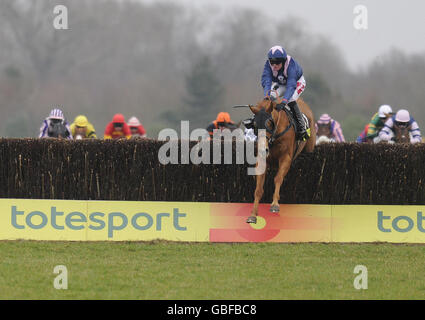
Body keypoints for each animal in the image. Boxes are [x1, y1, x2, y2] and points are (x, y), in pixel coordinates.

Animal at [245, 96, 314, 224]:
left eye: (269, 123)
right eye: (255, 125)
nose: (263, 149)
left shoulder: (286, 158)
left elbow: (278, 178)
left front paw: (274, 205)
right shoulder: (262, 160)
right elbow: (258, 189)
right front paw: (253, 215)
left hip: (310, 147)